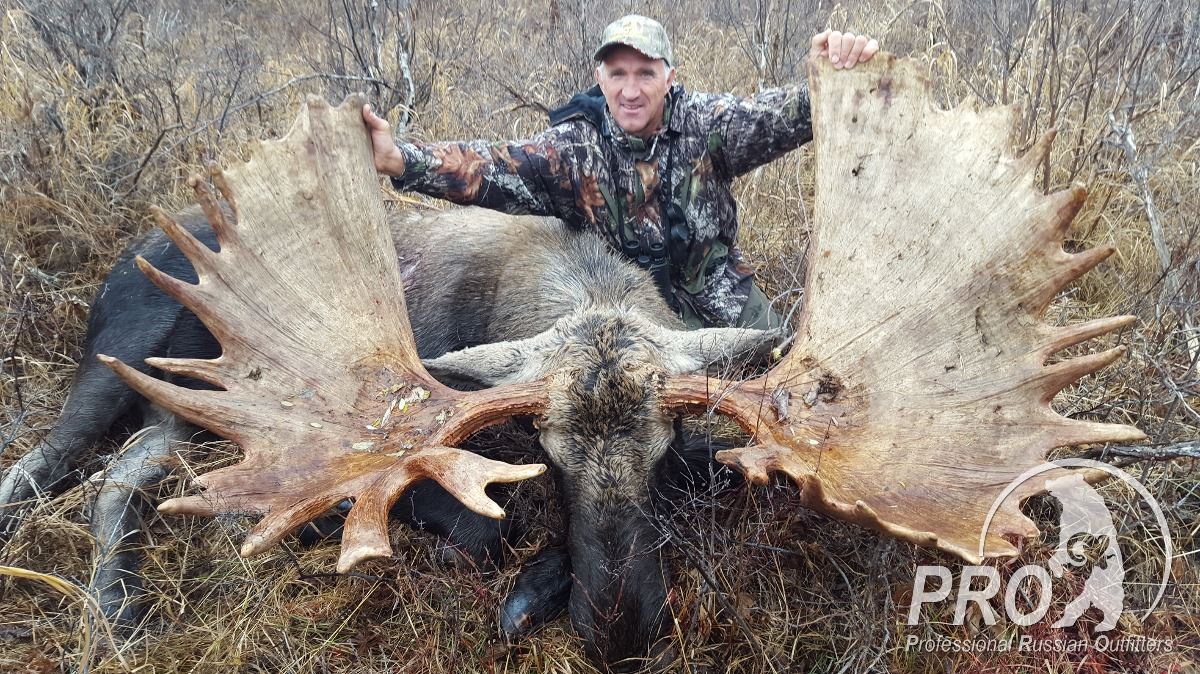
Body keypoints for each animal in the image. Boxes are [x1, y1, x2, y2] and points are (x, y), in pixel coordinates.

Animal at [1, 53, 1143, 672]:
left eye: (666, 448)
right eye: (545, 454)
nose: (621, 630)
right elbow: (476, 529)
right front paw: (521, 585)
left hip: (194, 407)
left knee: (132, 470)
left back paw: (121, 603)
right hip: (117, 356)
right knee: (61, 465)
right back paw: (103, 598)